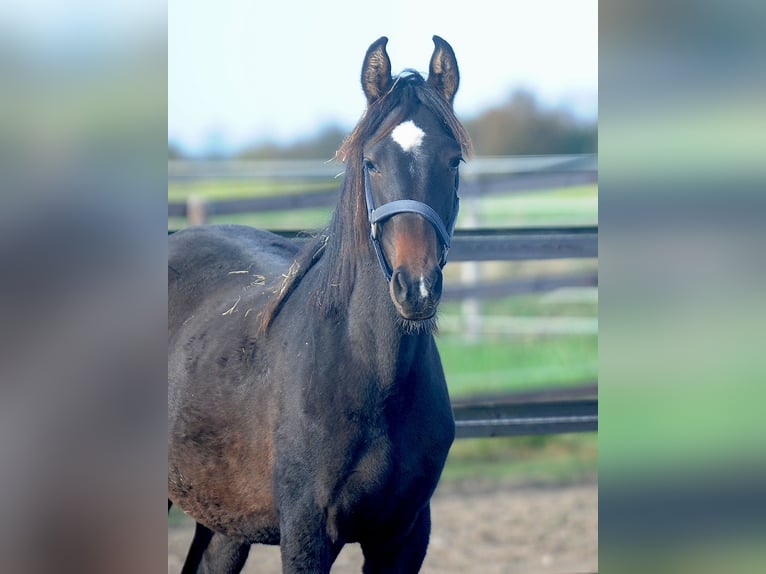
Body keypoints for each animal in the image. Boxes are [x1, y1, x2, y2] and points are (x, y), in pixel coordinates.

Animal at [168, 37, 474, 574]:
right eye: (371, 162)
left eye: (453, 161)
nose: (416, 287)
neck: (369, 372)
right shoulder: (306, 536)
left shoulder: (403, 537)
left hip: (223, 520)